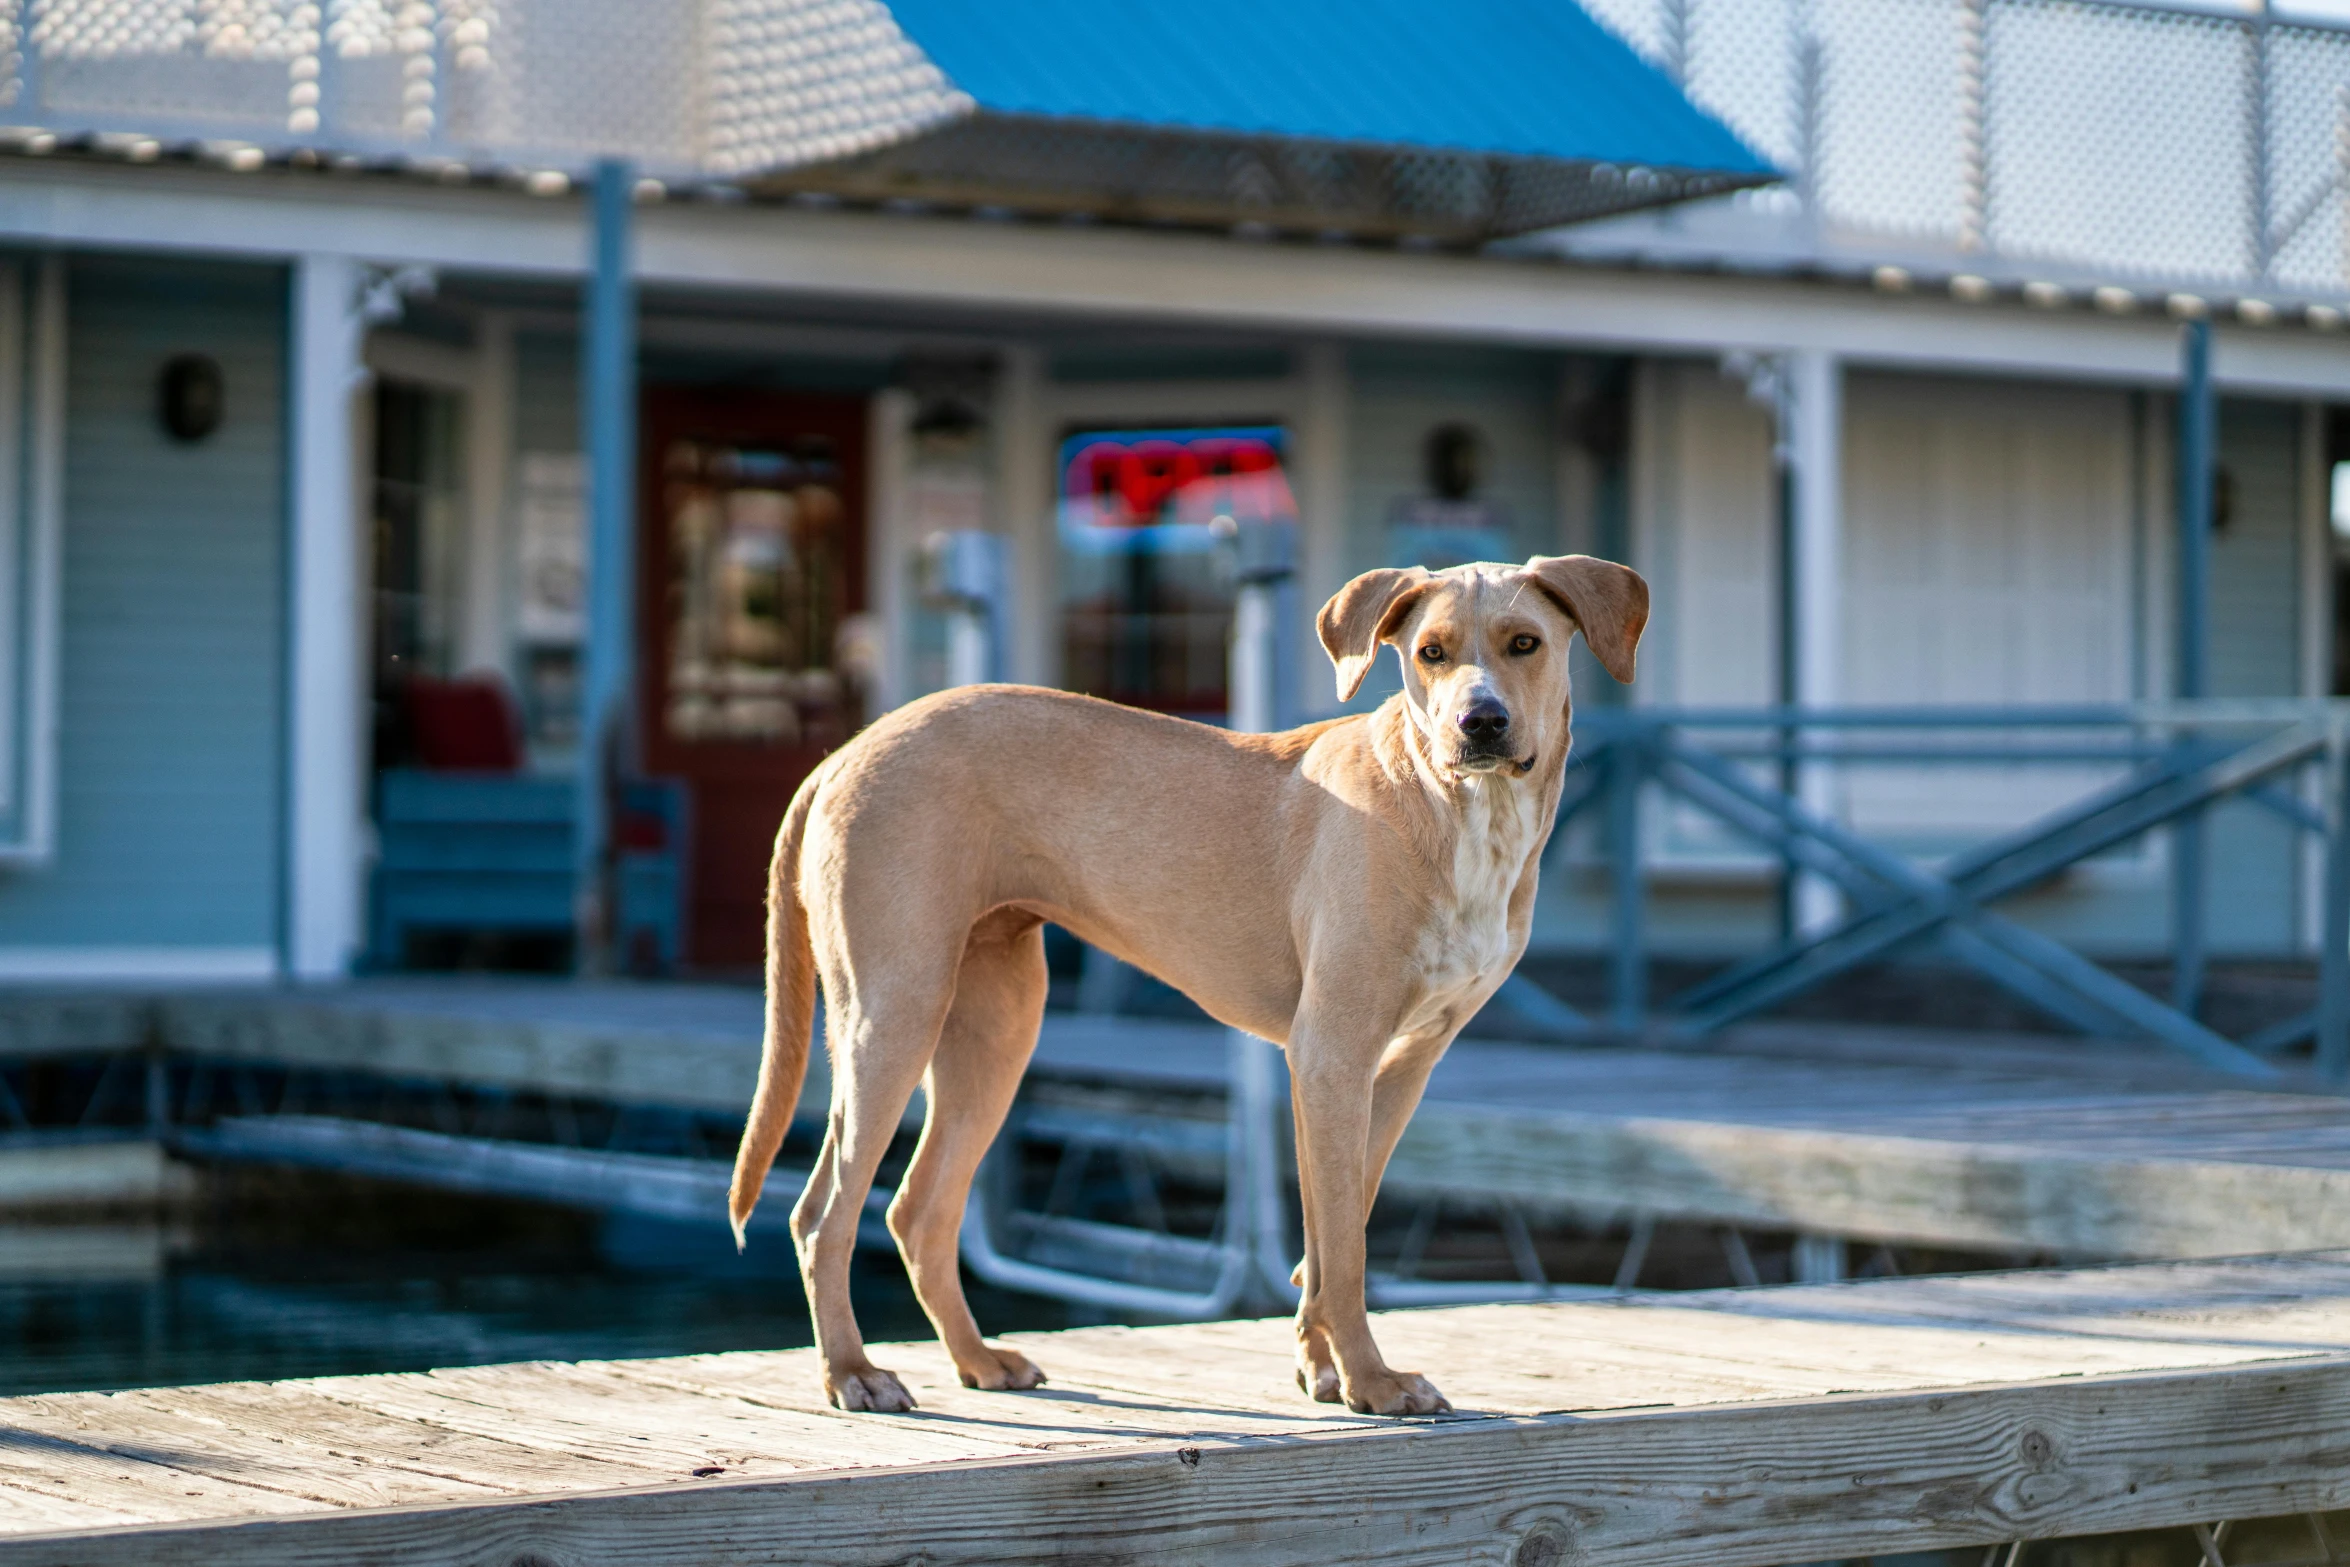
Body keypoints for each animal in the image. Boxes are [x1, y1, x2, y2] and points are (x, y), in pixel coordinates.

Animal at [723, 554, 1644, 1418]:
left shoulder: (1398, 1064)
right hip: (892, 1010)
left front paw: (1322, 1371)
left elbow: (1330, 1230)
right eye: (1431, 653)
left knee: (918, 1208)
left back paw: (979, 1360)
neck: (1456, 807)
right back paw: (854, 1372)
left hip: (995, 1026)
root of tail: (847, 753)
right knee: (822, 1212)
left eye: (1525, 642)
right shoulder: (1331, 1054)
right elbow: (1345, 1248)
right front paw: (1372, 1383)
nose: (1479, 722)